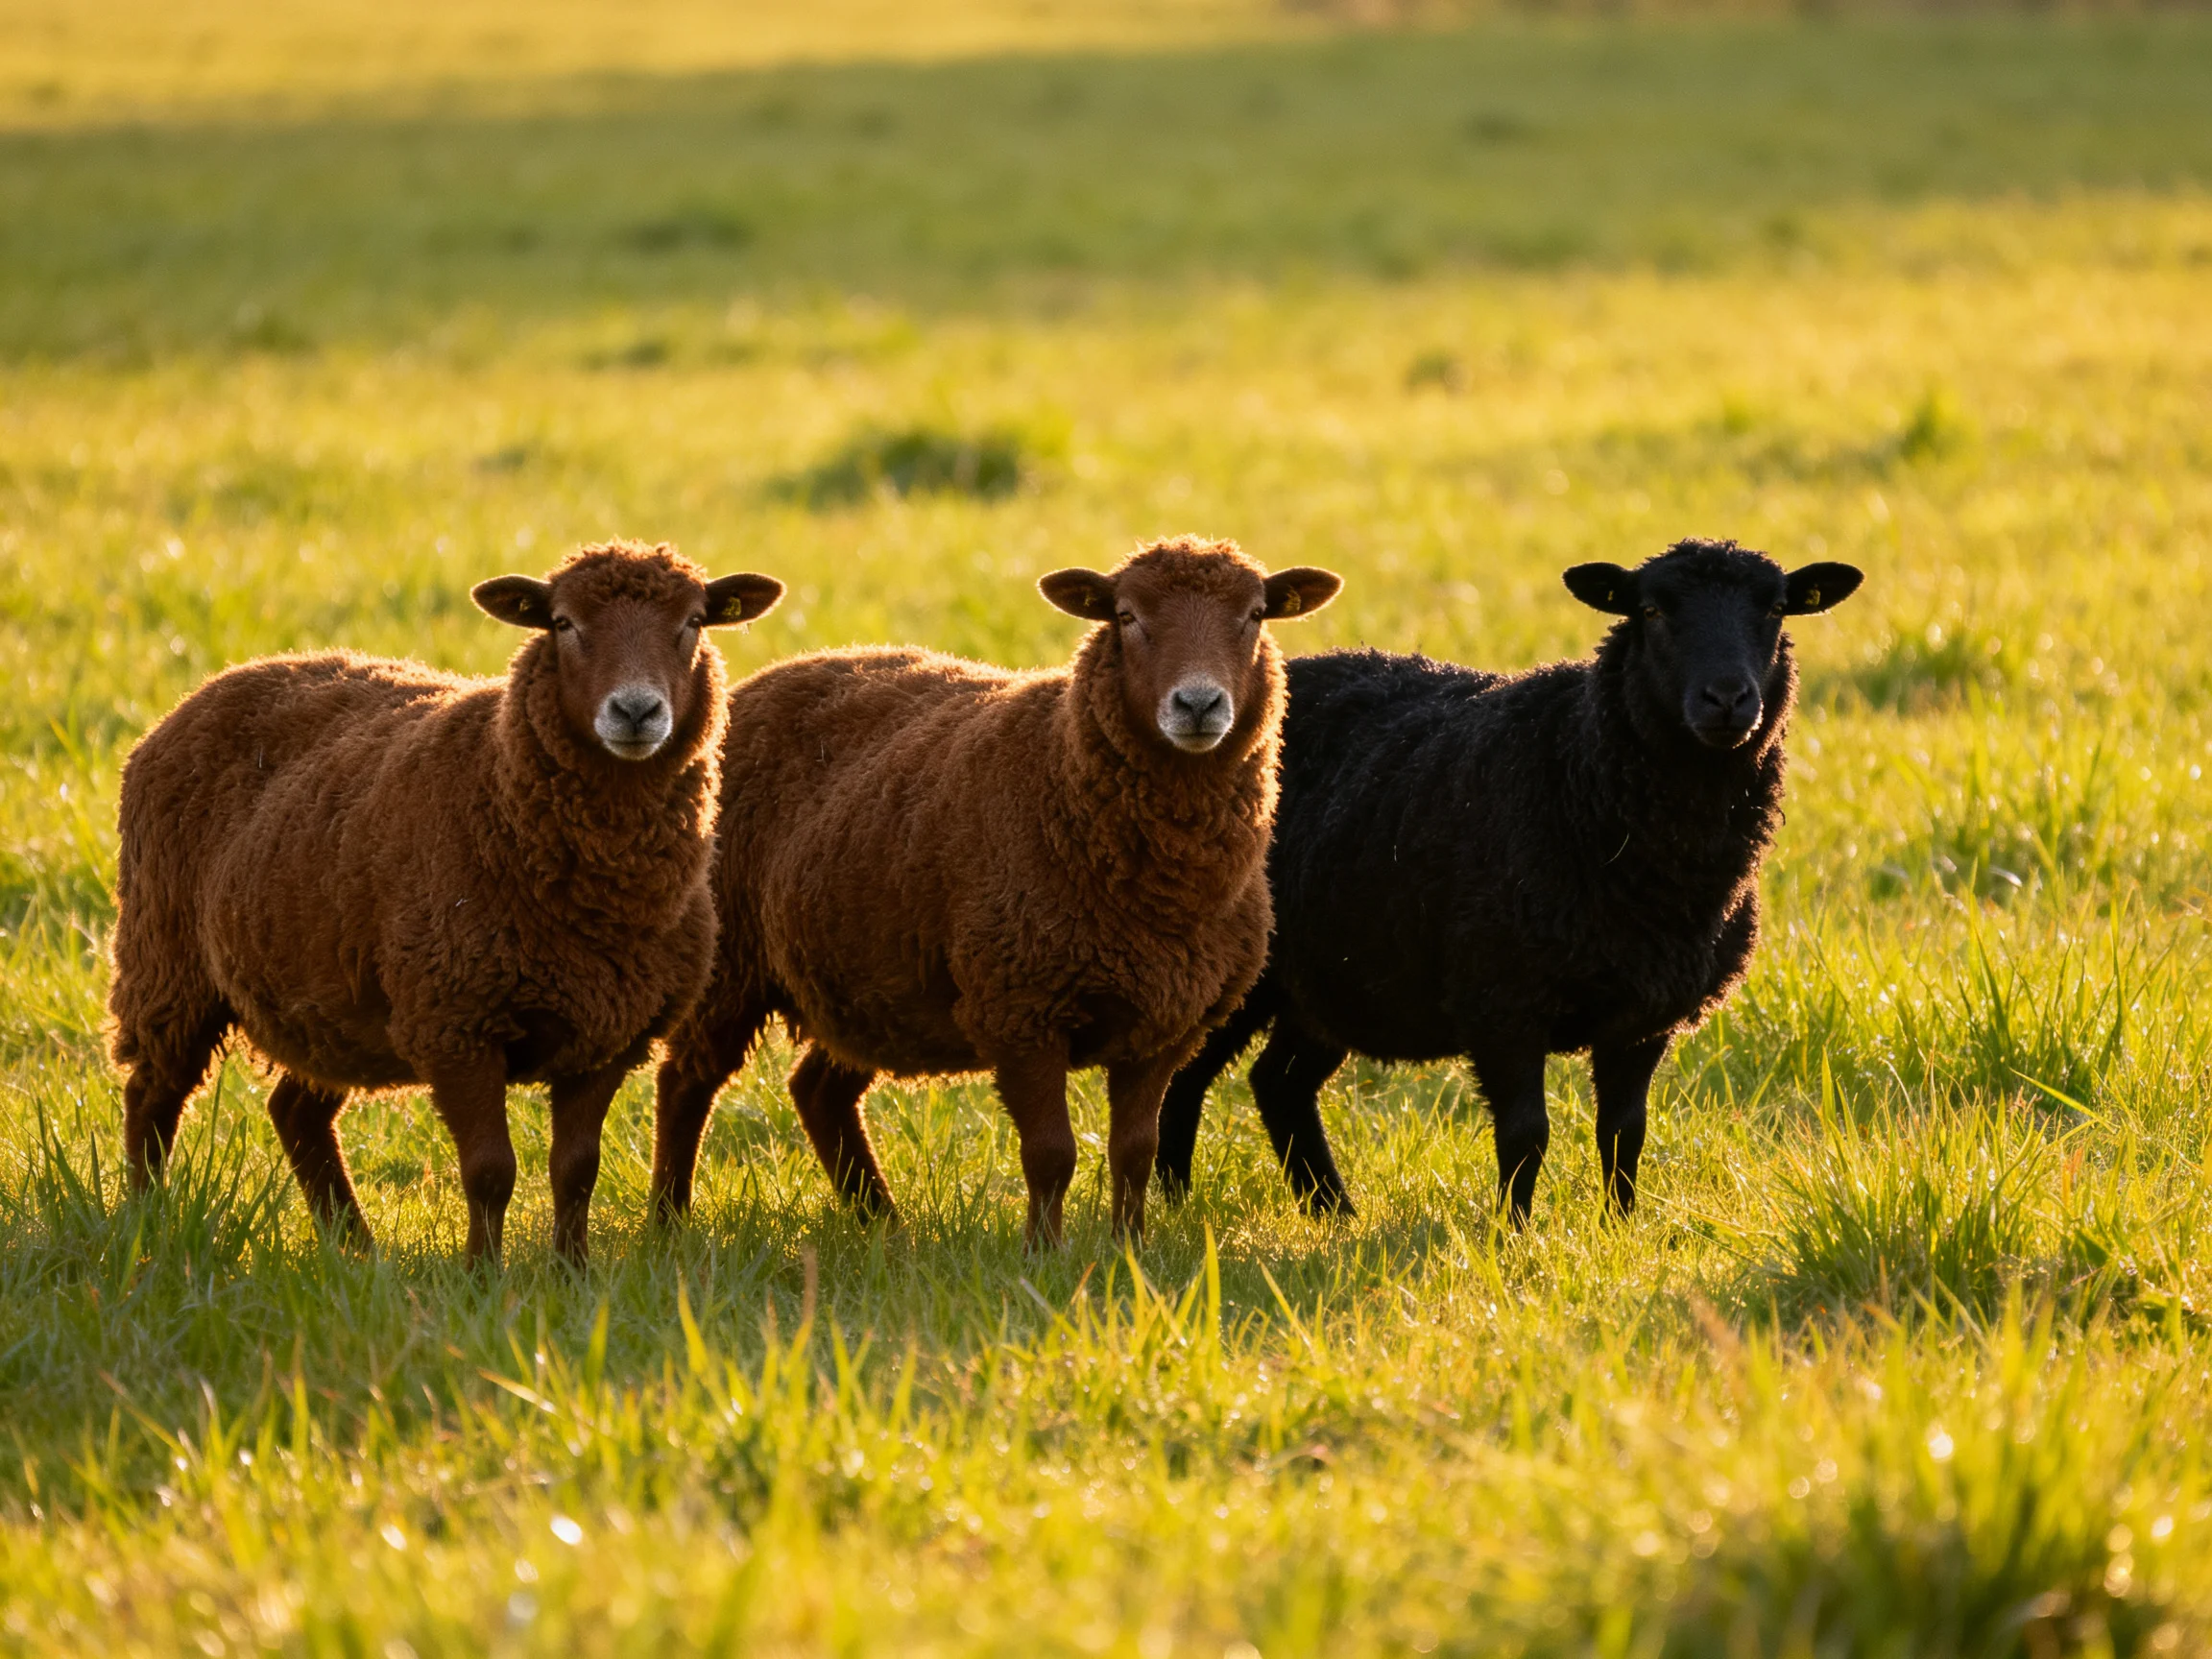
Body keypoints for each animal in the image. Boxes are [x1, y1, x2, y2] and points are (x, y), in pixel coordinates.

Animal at [107, 541, 784, 1266]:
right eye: (563, 623)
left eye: (694, 622)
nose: (635, 712)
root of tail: (207, 689)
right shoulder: (455, 1023)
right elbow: (490, 1171)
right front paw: (482, 1275)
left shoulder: (606, 1036)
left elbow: (577, 1169)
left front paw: (571, 1273)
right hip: (167, 959)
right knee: (152, 1095)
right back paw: (147, 1220)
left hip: (327, 999)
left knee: (295, 1111)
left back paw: (356, 1250)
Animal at [651, 536, 1342, 1246]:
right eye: (1126, 615)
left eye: (1255, 614)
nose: (1198, 706)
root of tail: (768, 677)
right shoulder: (1018, 1008)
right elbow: (1051, 1153)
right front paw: (1045, 1252)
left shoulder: (1164, 1026)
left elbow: (1135, 1152)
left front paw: (1129, 1247)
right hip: (731, 961)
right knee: (685, 1082)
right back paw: (669, 1220)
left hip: (872, 978)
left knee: (818, 1091)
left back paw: (883, 1224)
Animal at [1153, 538, 1862, 1224]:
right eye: (1652, 611)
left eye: (1775, 610)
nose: (1728, 700)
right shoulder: (1501, 999)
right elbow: (1526, 1133)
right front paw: (1512, 1236)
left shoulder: (1642, 1015)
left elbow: (1624, 1131)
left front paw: (1619, 1229)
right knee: (1185, 1078)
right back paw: (1177, 1210)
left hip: (1331, 980)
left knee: (1278, 1082)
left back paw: (1331, 1213)